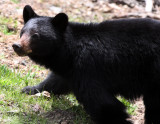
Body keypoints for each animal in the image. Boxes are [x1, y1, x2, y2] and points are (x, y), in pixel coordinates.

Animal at [12, 4, 160, 124]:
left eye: (35, 35)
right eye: (22, 32)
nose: (17, 46)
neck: (69, 52)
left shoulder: (89, 68)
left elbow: (101, 101)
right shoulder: (70, 70)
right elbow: (55, 81)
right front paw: (29, 89)